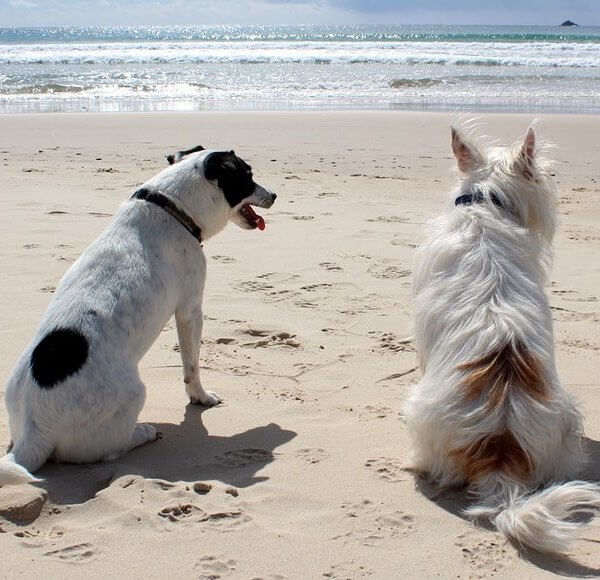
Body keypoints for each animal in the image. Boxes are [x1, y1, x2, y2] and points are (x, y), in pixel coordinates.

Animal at [0, 145, 276, 484]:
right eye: (247, 176)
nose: (274, 195)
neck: (172, 206)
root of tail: (34, 432)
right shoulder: (190, 311)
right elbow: (192, 367)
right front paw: (200, 397)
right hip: (133, 395)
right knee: (109, 449)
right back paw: (142, 433)